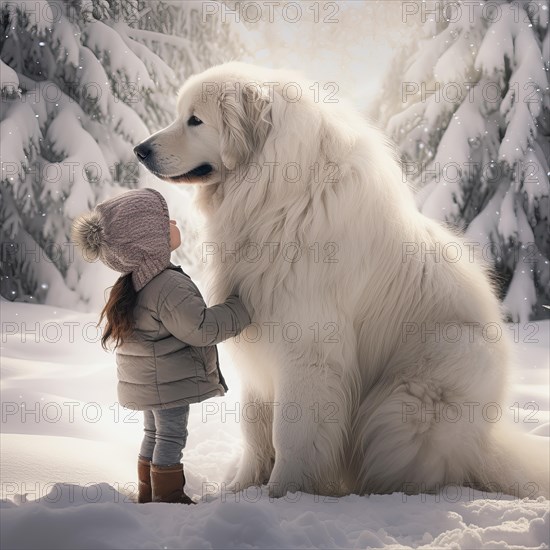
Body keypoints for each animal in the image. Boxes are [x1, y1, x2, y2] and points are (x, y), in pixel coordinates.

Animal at [135, 61, 550, 500]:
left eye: (195, 120)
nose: (140, 150)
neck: (275, 196)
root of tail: (484, 443)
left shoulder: (308, 353)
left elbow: (291, 435)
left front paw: (282, 495)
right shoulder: (259, 356)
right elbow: (255, 431)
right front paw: (238, 491)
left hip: (410, 400)